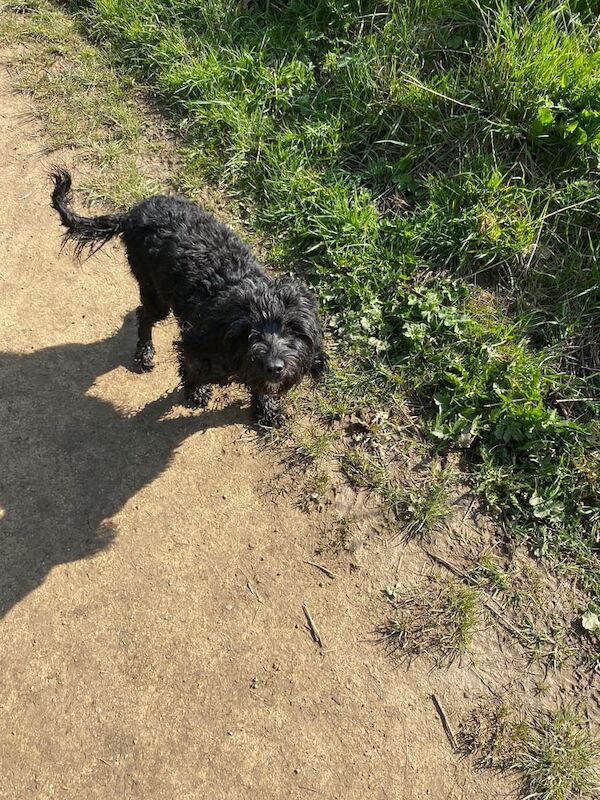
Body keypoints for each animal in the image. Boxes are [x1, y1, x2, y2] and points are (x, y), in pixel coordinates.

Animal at [49, 170, 326, 428]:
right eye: (250, 330)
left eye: (294, 329)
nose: (274, 366)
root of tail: (131, 213)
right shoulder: (195, 345)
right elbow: (192, 370)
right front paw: (196, 391)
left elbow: (259, 386)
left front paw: (266, 408)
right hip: (155, 292)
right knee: (144, 315)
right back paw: (145, 352)